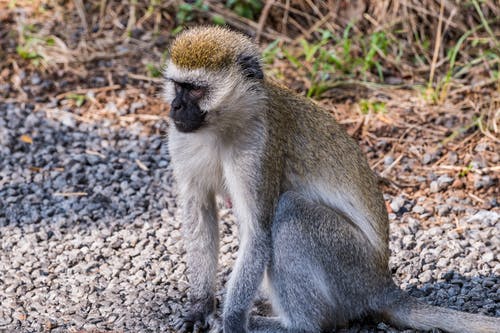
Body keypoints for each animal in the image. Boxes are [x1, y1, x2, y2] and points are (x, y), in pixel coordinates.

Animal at [164, 26, 500, 332]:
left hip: (353, 272)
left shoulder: (258, 148)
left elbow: (257, 233)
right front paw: (199, 308)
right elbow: (200, 215)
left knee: (292, 213)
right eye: (178, 87)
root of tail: (383, 286)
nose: (175, 107)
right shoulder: (180, 139)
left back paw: (295, 325)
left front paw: (232, 321)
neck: (222, 126)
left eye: (195, 89)